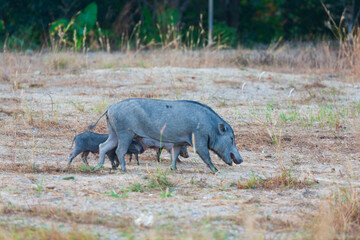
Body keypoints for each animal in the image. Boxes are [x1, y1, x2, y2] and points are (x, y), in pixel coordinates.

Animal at [88, 98, 243, 172]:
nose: (241, 160)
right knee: (120, 150)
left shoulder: (179, 142)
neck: (211, 126)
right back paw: (124, 169)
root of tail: (109, 108)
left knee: (103, 146)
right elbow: (206, 155)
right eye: (231, 138)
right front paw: (216, 171)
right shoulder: (199, 140)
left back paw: (99, 167)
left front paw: (173, 169)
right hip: (125, 133)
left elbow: (174, 154)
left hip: (114, 133)